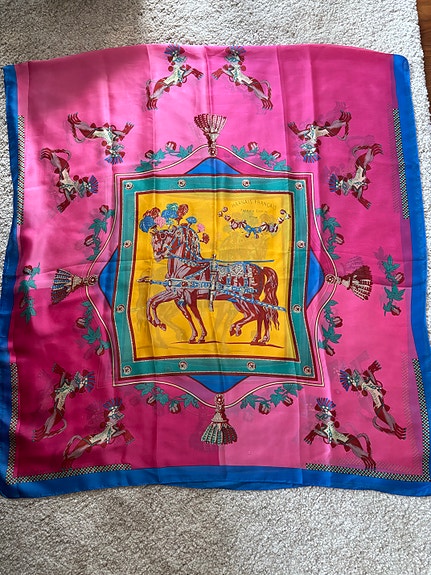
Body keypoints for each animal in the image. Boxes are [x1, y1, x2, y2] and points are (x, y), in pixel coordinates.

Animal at [138, 224, 282, 345]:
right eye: (153, 241)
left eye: (164, 237)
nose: (157, 256)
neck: (185, 267)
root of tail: (260, 268)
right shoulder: (175, 295)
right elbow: (154, 302)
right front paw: (158, 323)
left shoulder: (190, 296)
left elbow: (196, 315)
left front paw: (201, 336)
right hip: (239, 301)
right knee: (259, 314)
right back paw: (257, 338)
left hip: (247, 298)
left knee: (259, 314)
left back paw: (245, 333)